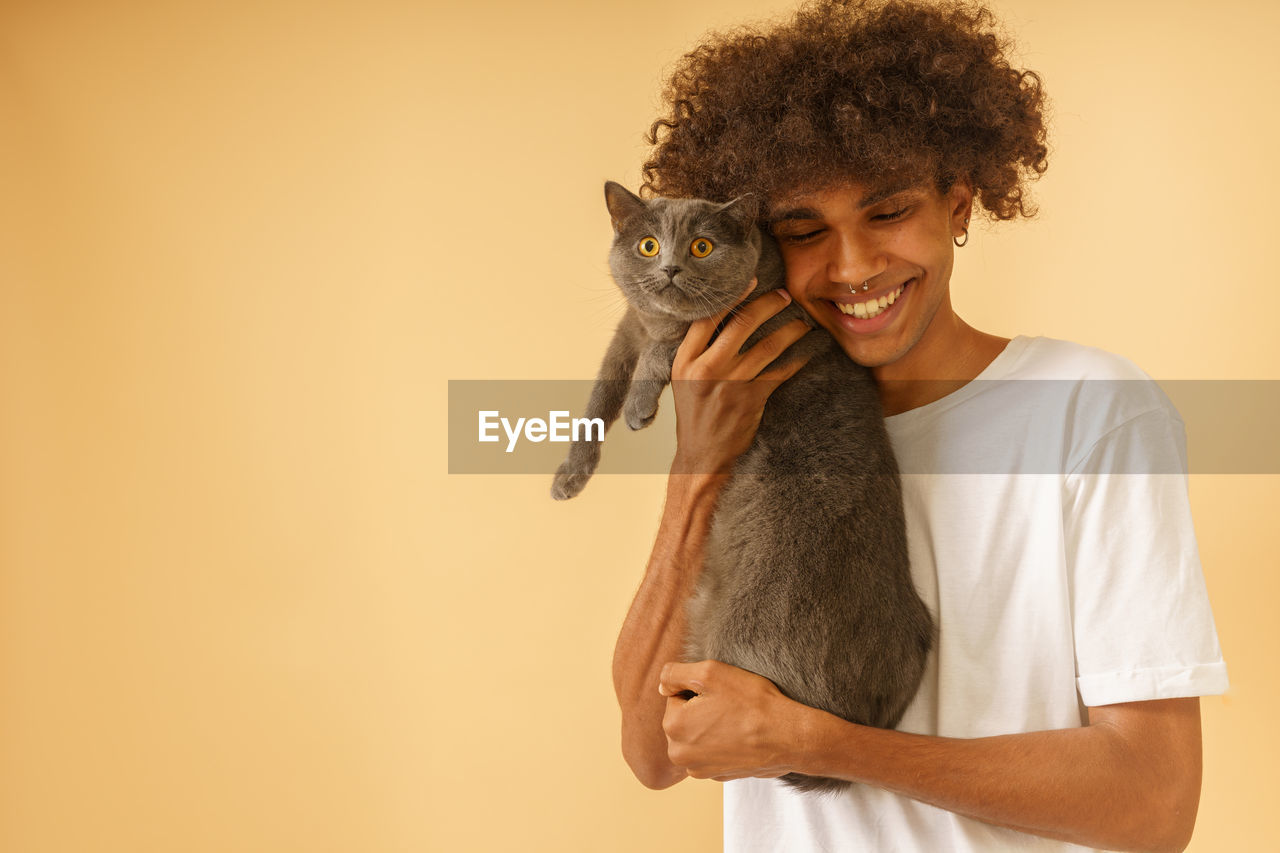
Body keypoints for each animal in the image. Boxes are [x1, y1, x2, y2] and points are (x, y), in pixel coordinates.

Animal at [555, 183, 936, 794]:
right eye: (647, 244)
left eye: (702, 246)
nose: (669, 267)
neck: (657, 322)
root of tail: (865, 716)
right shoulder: (627, 331)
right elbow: (598, 395)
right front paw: (570, 475)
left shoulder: (755, 326)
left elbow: (666, 351)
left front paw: (640, 407)